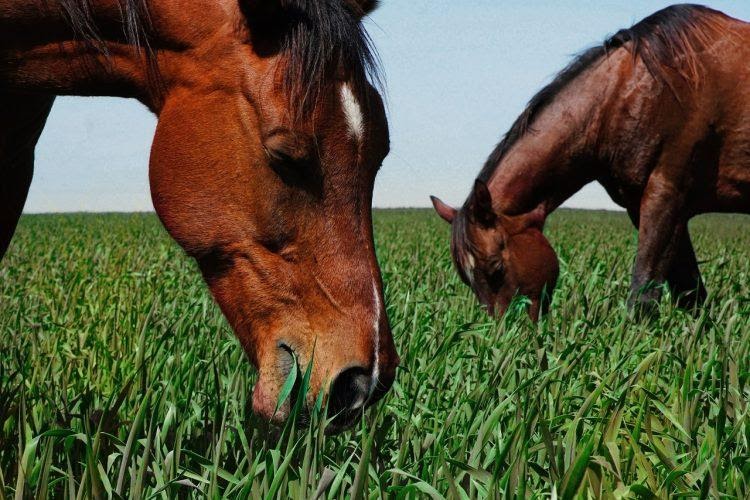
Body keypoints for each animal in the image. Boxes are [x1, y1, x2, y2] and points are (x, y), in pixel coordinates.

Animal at [432, 4, 750, 320]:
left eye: (496, 269)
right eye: (467, 280)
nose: (509, 331)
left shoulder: (666, 198)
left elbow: (644, 295)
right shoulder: (648, 208)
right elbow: (691, 295)